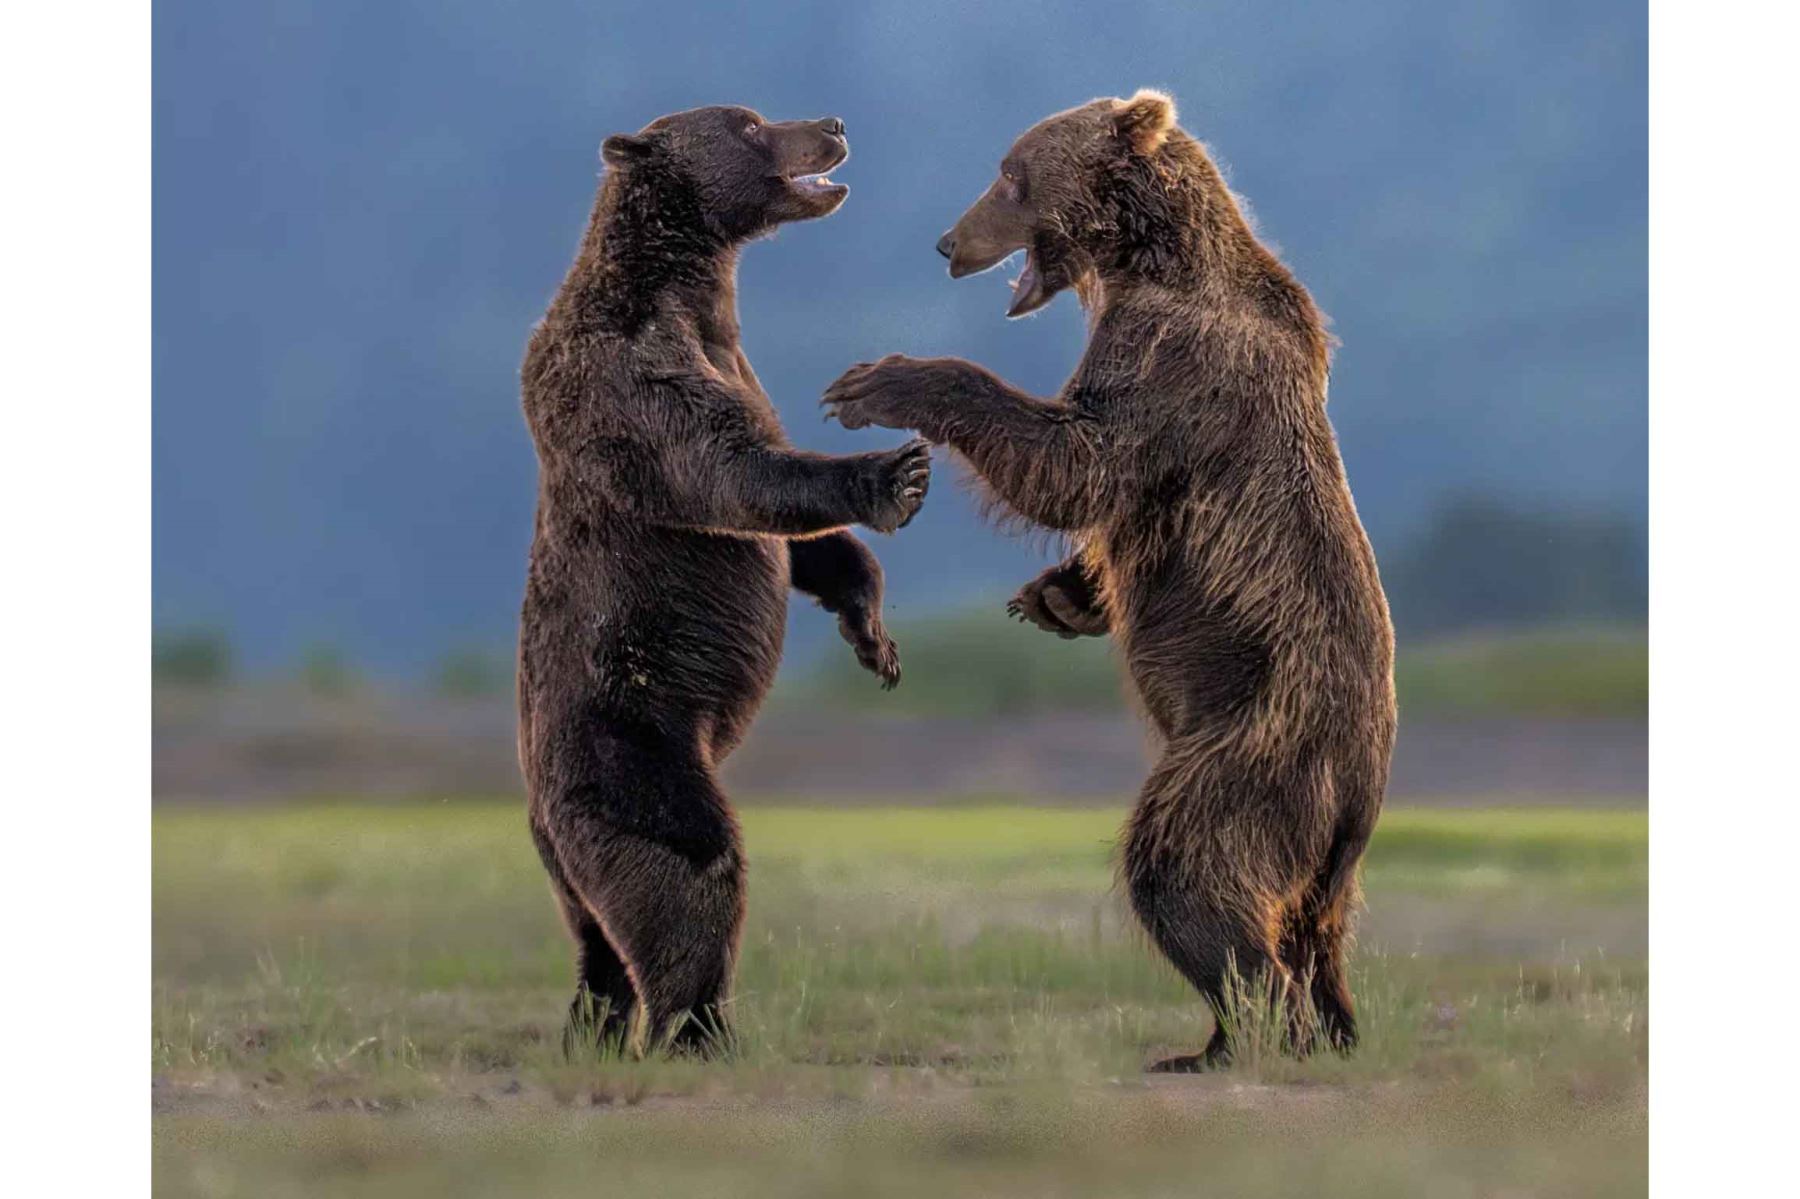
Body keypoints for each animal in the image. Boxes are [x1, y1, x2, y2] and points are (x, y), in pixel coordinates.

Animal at [518, 104, 931, 1056]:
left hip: (563, 845)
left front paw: (874, 636)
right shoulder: (633, 376)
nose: (833, 122)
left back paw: (595, 1024)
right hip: (627, 734)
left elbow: (798, 539)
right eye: (746, 124)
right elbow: (732, 474)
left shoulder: (733, 359)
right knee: (687, 864)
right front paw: (895, 474)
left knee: (595, 935)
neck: (694, 287)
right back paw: (699, 1027)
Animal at [823, 91, 1395, 1069]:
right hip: (1322, 842)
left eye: (1011, 173)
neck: (1147, 260)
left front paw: (878, 381)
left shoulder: (1171, 363)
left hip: (1257, 735)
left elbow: (1078, 463)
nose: (947, 241)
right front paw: (1055, 597)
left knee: (1184, 862)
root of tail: (1360, 794)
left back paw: (1247, 1034)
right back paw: (1304, 1026)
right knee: (1313, 927)